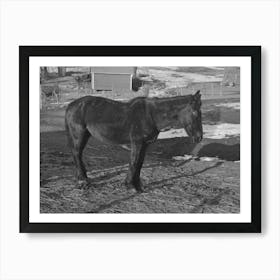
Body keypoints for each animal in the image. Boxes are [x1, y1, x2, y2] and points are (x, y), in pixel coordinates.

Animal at [65, 91, 202, 191]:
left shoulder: (145, 145)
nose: (199, 137)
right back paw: (83, 181)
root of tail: (72, 105)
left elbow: (139, 163)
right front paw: (130, 185)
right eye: (195, 113)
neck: (151, 114)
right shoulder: (137, 143)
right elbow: (134, 162)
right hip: (79, 136)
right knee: (77, 154)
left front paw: (138, 185)